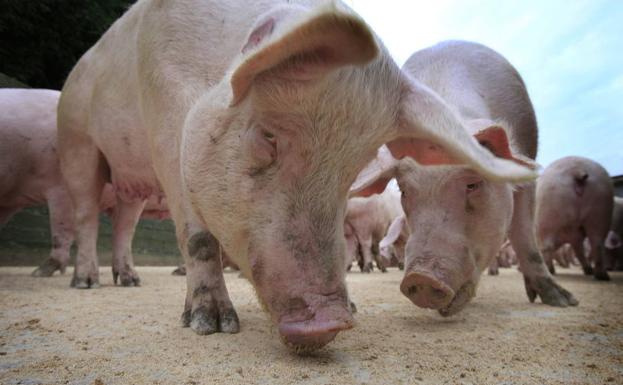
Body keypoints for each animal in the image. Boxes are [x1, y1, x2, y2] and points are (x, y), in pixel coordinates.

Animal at [58, 0, 532, 352]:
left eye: (354, 165)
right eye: (268, 136)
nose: (330, 319)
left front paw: (356, 308)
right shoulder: (165, 118)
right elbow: (198, 236)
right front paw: (212, 326)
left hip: (128, 186)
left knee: (123, 221)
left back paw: (129, 280)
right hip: (77, 141)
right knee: (85, 214)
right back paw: (85, 283)